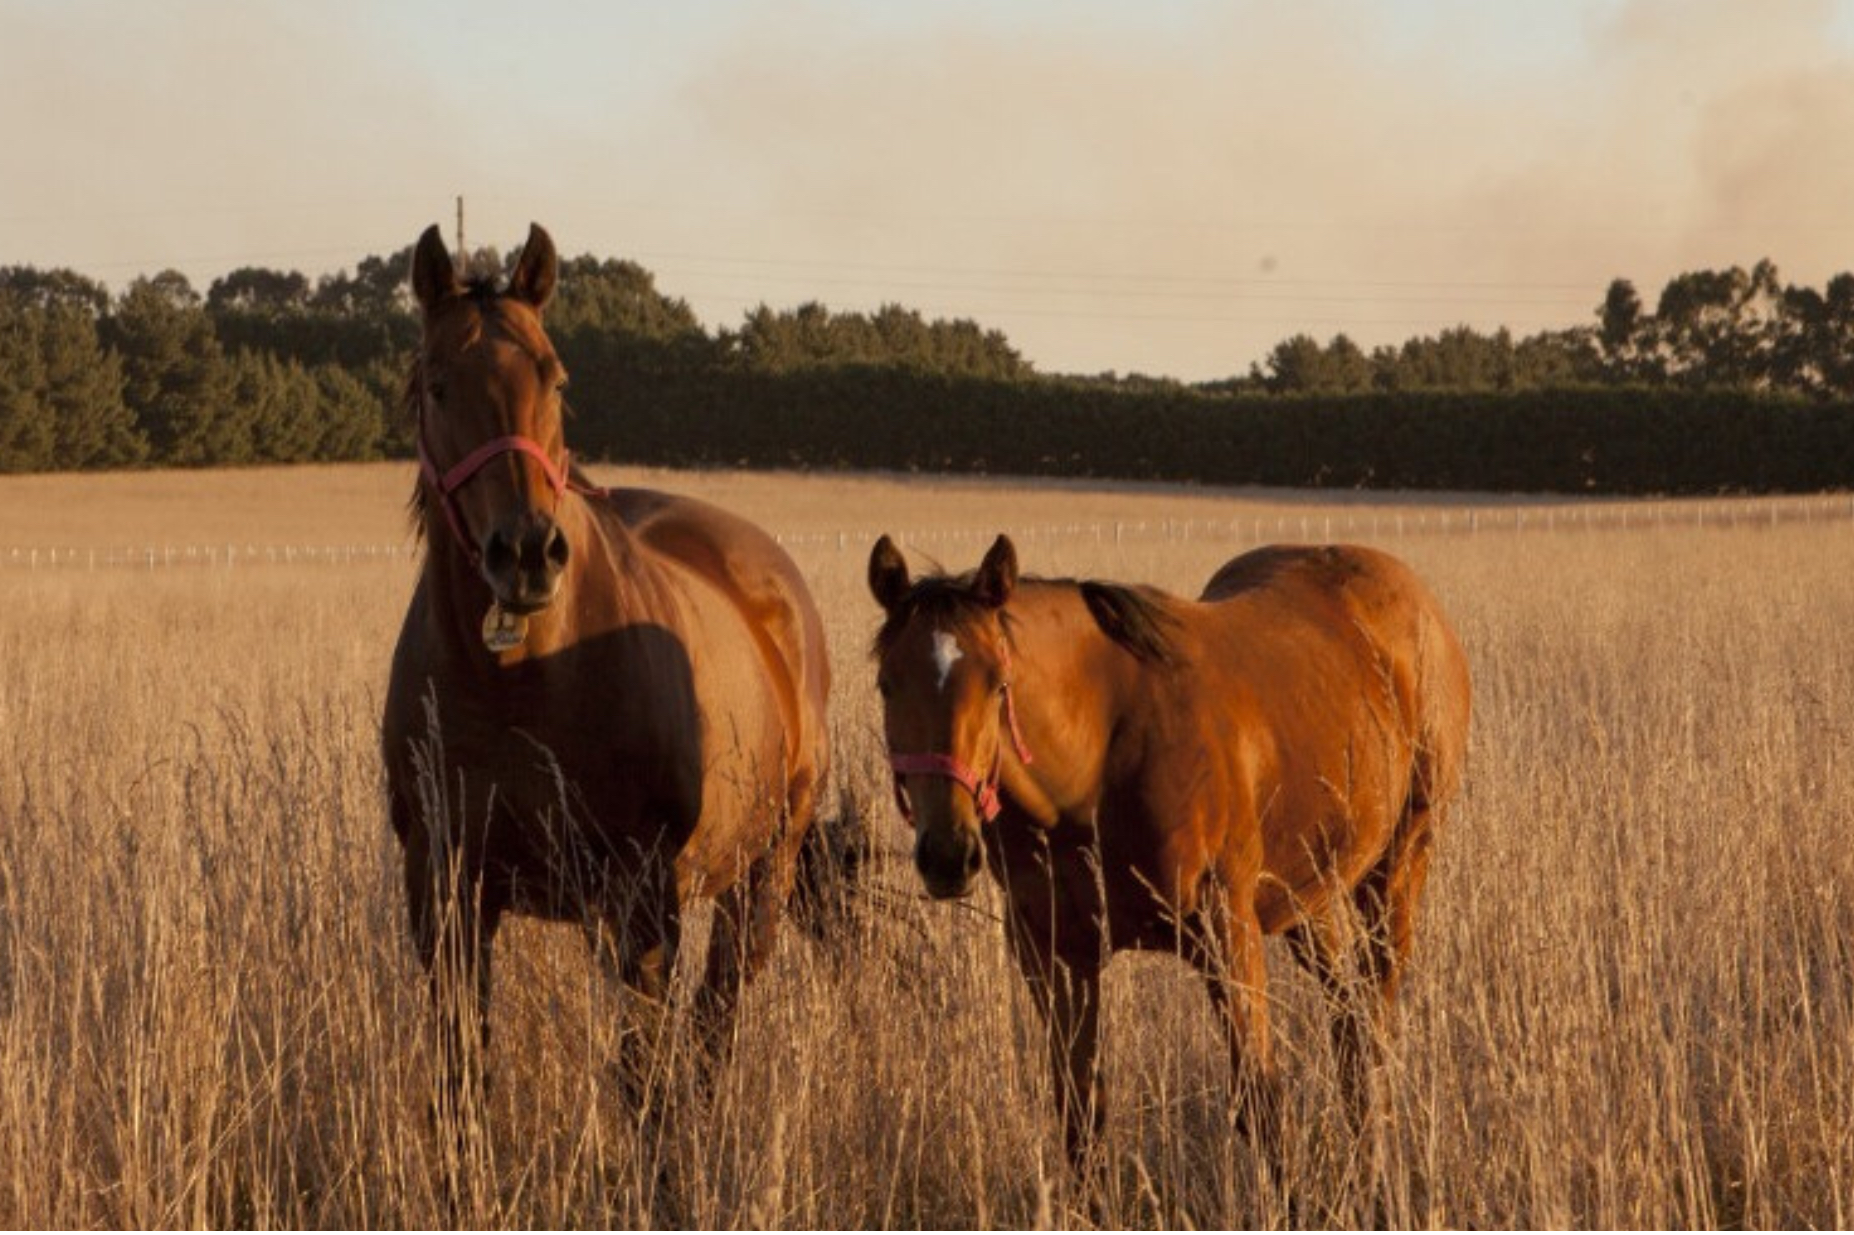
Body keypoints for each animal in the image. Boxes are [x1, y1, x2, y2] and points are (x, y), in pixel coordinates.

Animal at [380, 218, 830, 1112]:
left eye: (554, 375)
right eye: (439, 385)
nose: (525, 552)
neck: (521, 680)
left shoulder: (644, 898)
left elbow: (642, 1081)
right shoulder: (444, 892)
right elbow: (462, 1077)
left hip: (759, 873)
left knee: (715, 1020)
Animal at [863, 534, 1460, 1171]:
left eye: (999, 682)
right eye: (887, 684)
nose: (948, 852)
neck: (1101, 760)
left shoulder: (1227, 935)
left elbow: (1261, 1104)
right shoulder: (1055, 956)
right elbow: (1081, 1116)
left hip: (1398, 868)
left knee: (1372, 1023)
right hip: (1312, 897)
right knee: (1347, 1023)